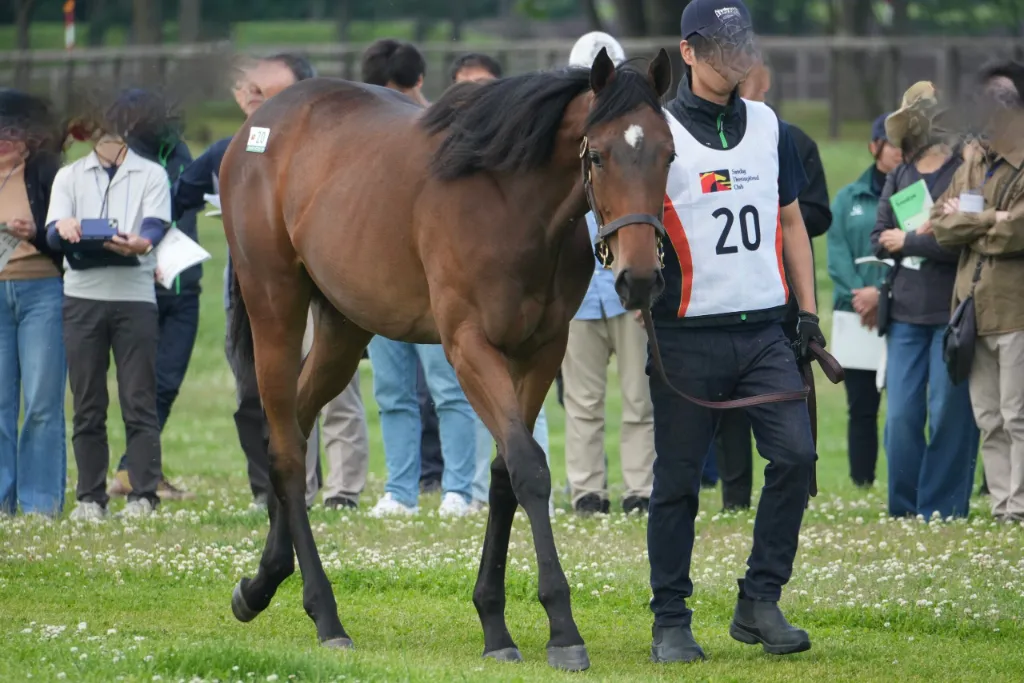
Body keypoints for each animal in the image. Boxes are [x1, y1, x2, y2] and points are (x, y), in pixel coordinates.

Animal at [219, 48, 674, 671]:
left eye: (669, 154)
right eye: (599, 155)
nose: (639, 278)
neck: (510, 201)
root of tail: (256, 129)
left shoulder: (541, 351)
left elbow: (505, 472)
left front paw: (494, 622)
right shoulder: (469, 347)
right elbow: (530, 468)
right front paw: (562, 628)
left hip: (342, 331)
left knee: (291, 428)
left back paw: (262, 581)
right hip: (276, 310)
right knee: (288, 454)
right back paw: (325, 614)